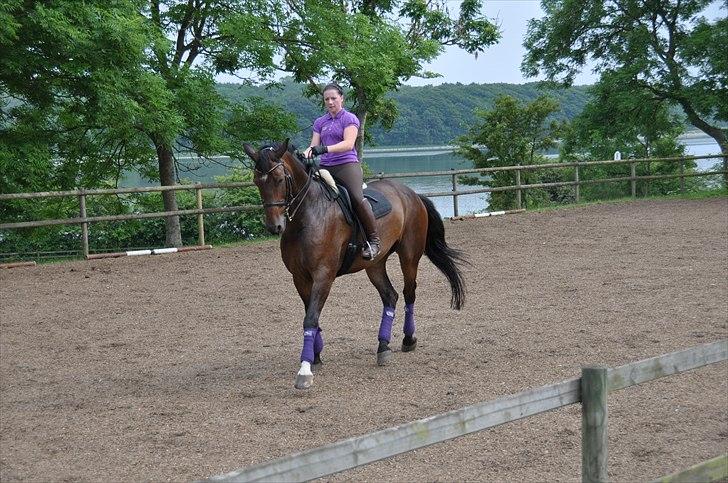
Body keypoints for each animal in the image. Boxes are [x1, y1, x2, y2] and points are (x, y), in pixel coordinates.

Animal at [242, 140, 464, 390]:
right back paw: (383, 347)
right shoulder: (300, 277)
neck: (307, 216)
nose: (275, 226)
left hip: (409, 256)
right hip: (375, 264)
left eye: (280, 178)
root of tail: (411, 193)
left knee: (409, 293)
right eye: (256, 181)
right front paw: (316, 357)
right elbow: (311, 315)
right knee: (390, 296)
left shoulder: (324, 275)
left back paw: (408, 339)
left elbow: (311, 317)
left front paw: (305, 370)